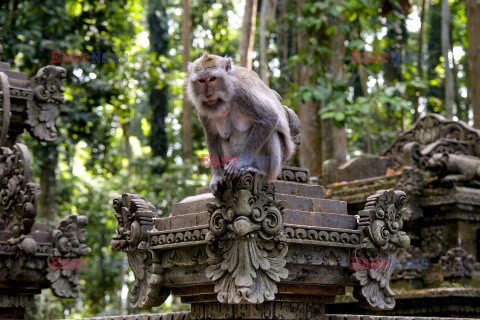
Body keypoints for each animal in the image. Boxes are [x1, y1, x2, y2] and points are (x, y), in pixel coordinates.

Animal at [185, 52, 300, 198]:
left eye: (212, 79)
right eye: (201, 80)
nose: (208, 94)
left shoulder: (241, 92)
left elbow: (269, 118)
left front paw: (240, 163)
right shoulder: (203, 109)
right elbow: (212, 137)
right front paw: (216, 177)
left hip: (276, 165)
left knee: (272, 134)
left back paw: (258, 170)